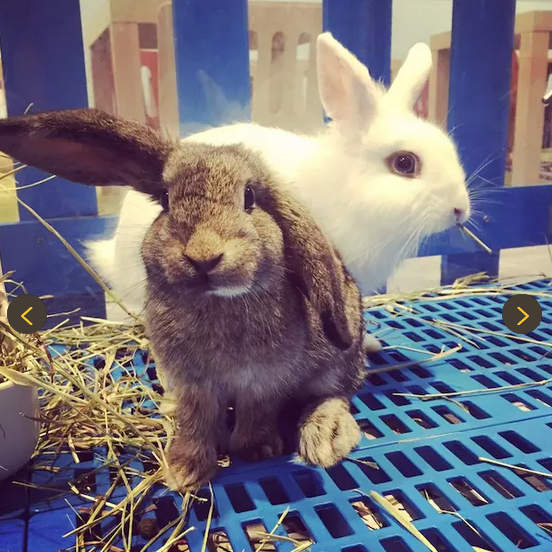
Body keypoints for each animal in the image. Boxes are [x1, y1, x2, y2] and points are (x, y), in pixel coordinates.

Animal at [0, 109, 366, 492]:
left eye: (250, 197)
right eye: (165, 199)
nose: (203, 256)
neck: (216, 301)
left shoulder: (264, 380)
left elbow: (257, 411)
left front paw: (256, 449)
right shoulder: (192, 383)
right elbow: (196, 420)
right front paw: (183, 470)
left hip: (335, 364)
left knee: (335, 394)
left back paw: (326, 439)